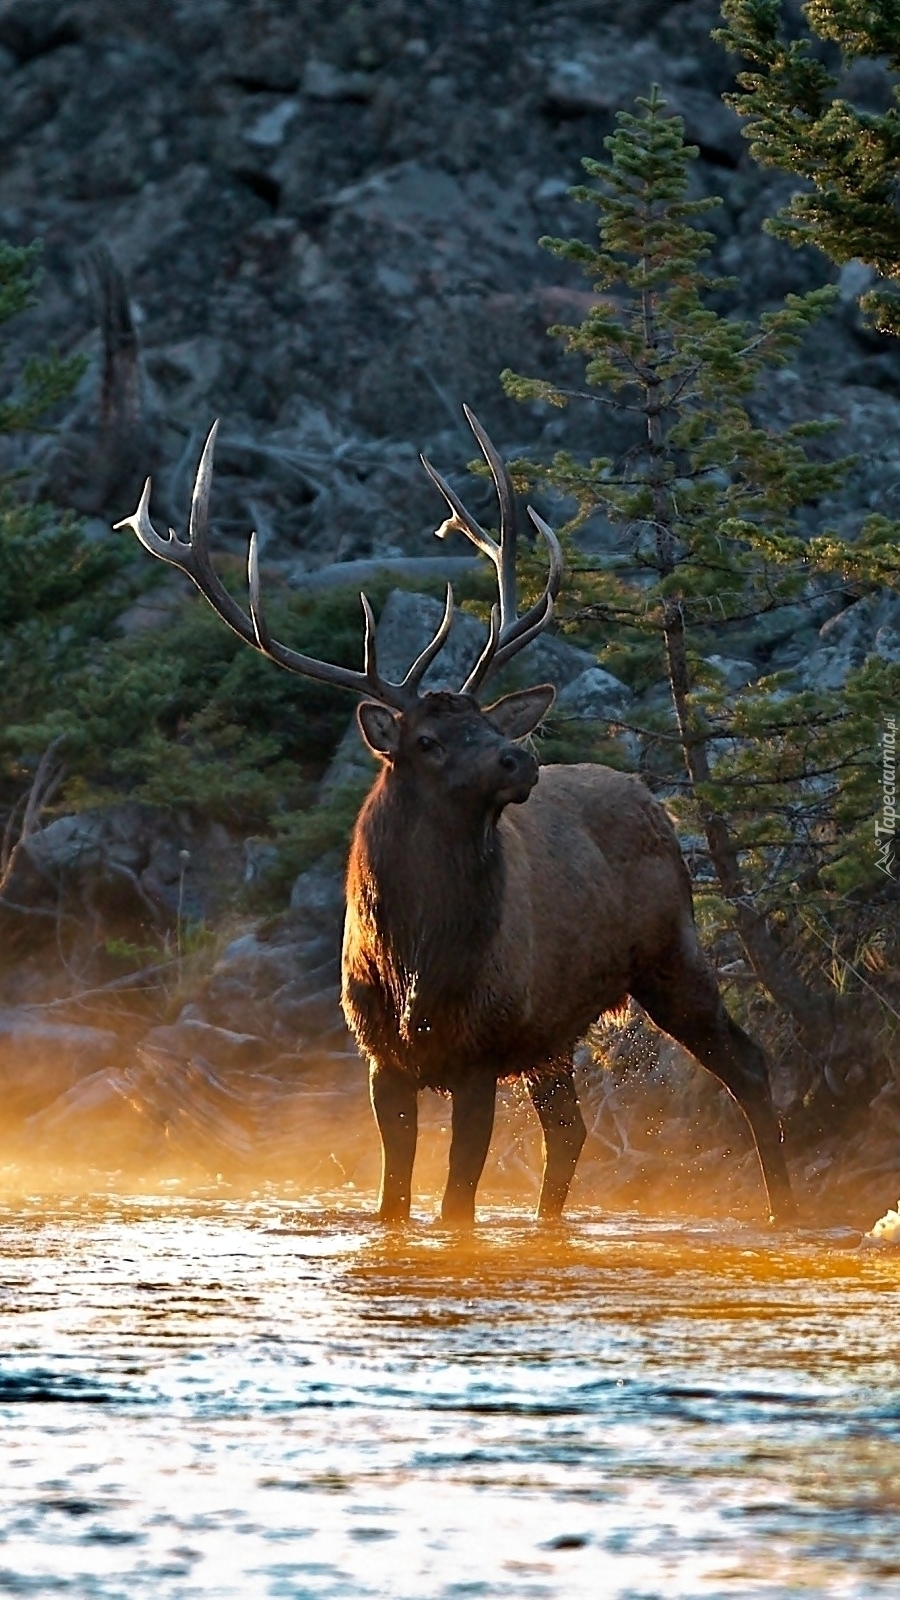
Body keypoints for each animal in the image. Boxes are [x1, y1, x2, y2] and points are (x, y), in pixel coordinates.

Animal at [115, 409, 794, 1222]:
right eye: (429, 740)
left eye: (487, 722)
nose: (518, 758)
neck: (416, 965)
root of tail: (650, 798)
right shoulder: (381, 1058)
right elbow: (394, 1200)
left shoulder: (479, 1053)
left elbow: (456, 1203)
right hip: (552, 1031)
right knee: (570, 1131)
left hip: (671, 951)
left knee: (748, 1064)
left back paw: (787, 1210)